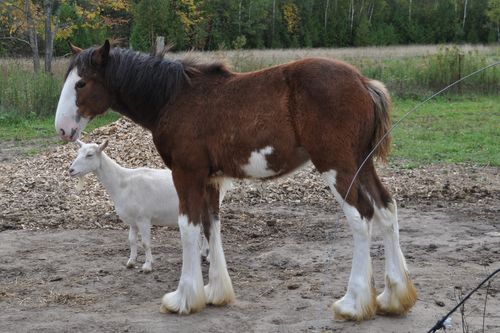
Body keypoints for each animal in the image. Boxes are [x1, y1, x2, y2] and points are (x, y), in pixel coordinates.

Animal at [69, 140, 212, 272]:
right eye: (78, 152)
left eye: (90, 155)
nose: (71, 170)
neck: (123, 183)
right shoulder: (132, 221)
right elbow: (131, 240)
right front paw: (131, 262)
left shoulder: (143, 218)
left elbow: (145, 243)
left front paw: (147, 266)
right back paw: (202, 254)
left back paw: (208, 257)